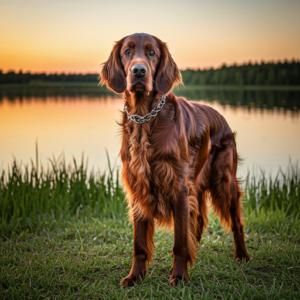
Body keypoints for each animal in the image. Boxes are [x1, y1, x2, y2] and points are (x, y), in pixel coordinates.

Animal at [99, 32, 250, 286]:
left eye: (152, 52)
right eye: (127, 52)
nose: (138, 71)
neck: (145, 120)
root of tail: (221, 115)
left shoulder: (179, 188)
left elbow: (179, 241)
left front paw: (179, 276)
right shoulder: (139, 187)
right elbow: (140, 244)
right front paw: (134, 276)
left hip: (224, 180)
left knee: (235, 221)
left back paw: (242, 255)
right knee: (197, 219)